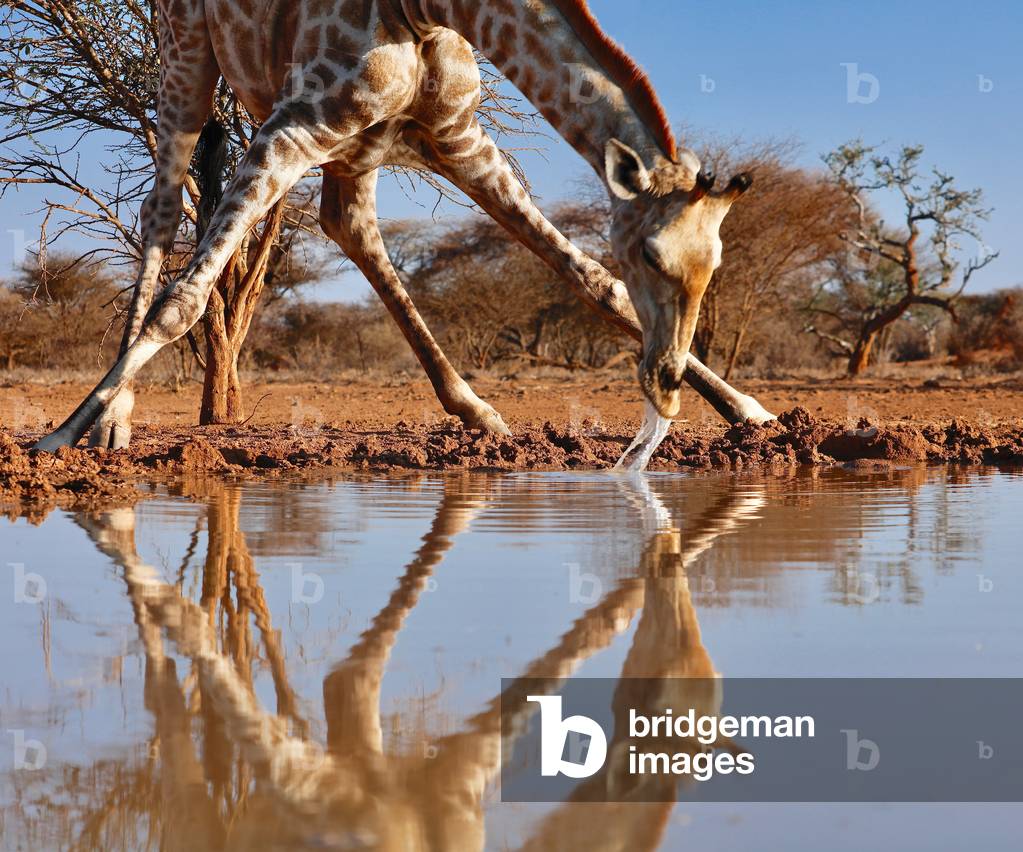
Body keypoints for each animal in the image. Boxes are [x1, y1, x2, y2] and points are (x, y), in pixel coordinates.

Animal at [34, 0, 775, 453]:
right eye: (650, 254)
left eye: (714, 268)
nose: (664, 379)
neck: (429, 11)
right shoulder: (292, 124)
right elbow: (183, 301)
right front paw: (59, 437)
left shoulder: (458, 139)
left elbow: (592, 279)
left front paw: (752, 413)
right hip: (188, 50)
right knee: (161, 210)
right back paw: (110, 423)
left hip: (353, 147)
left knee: (348, 226)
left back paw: (477, 409)